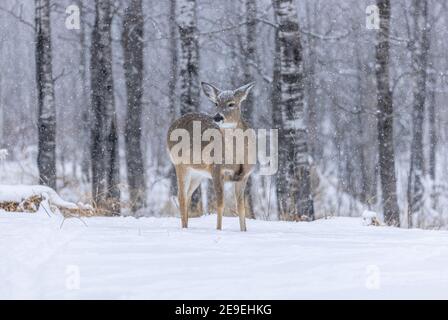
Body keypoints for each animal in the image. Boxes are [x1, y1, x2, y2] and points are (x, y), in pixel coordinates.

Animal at [167, 82, 256, 232]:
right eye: (216, 103)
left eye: (231, 103)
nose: (217, 117)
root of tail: (172, 125)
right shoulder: (216, 170)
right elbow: (220, 203)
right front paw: (218, 229)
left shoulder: (244, 176)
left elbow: (241, 207)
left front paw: (244, 230)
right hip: (180, 164)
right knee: (181, 196)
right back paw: (184, 228)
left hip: (198, 173)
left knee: (188, 195)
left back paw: (187, 225)